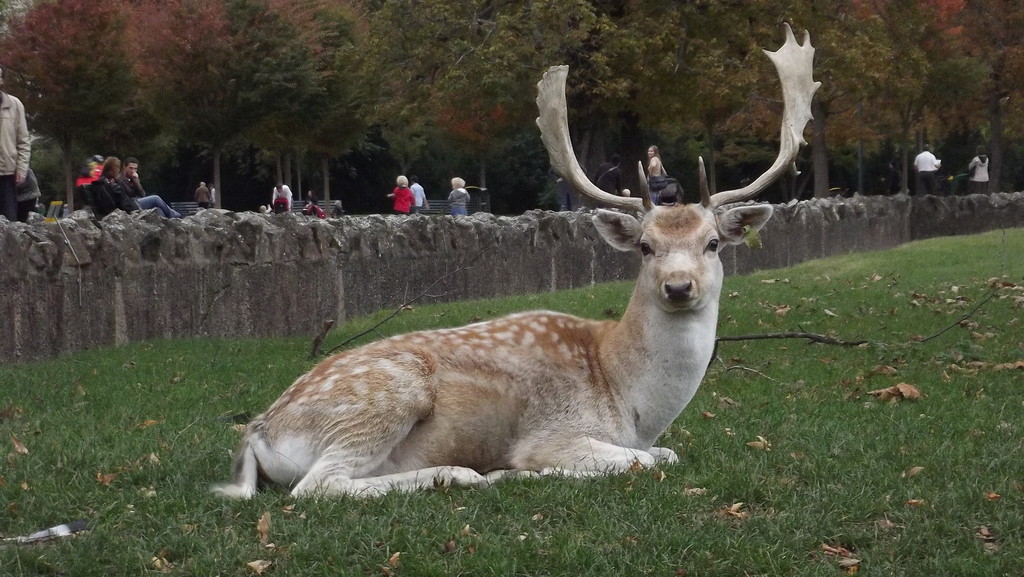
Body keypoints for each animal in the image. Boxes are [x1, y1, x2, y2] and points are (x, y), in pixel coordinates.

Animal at [213, 23, 818, 499]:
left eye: (713, 243)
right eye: (645, 247)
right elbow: (647, 461)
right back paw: (464, 474)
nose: (677, 286)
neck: (632, 402)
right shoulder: (556, 431)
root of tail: (259, 432)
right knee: (318, 486)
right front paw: (525, 469)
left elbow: (663, 454)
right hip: (381, 399)